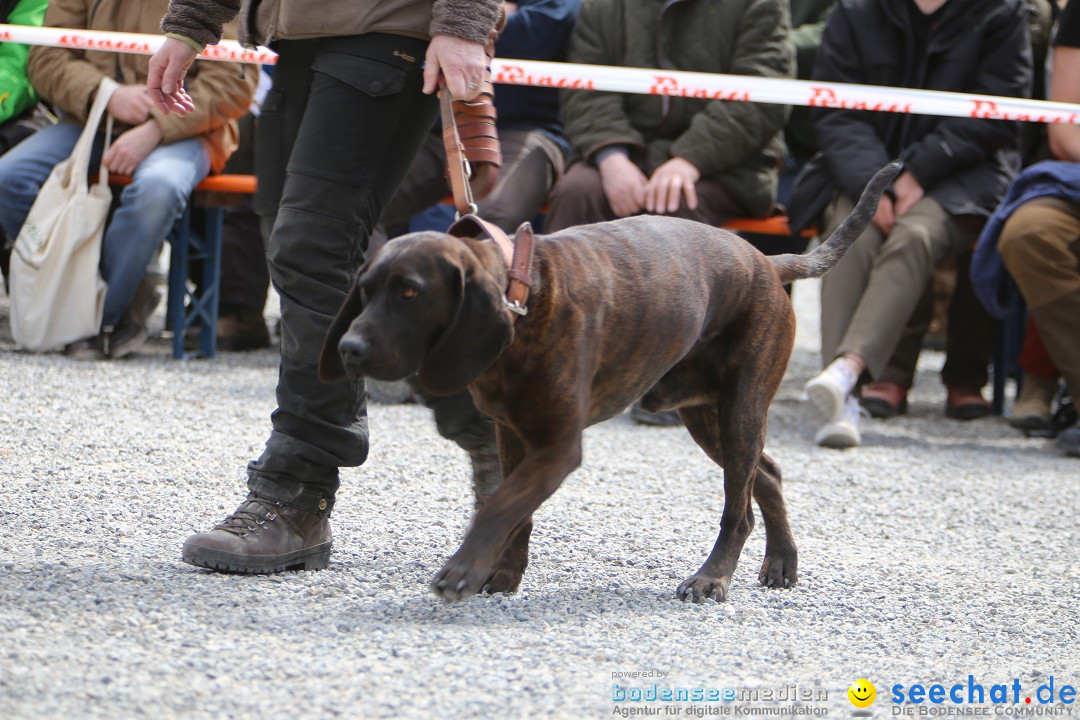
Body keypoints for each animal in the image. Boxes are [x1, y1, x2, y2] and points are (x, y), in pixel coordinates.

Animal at [319, 160, 902, 600]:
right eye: (365, 289)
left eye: (410, 292)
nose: (349, 350)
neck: (524, 298)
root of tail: (765, 258)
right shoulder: (513, 434)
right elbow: (513, 512)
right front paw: (502, 573)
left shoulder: (557, 446)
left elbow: (503, 506)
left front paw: (465, 568)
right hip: (707, 416)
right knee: (769, 475)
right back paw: (781, 562)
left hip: (738, 410)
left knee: (737, 511)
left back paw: (712, 578)